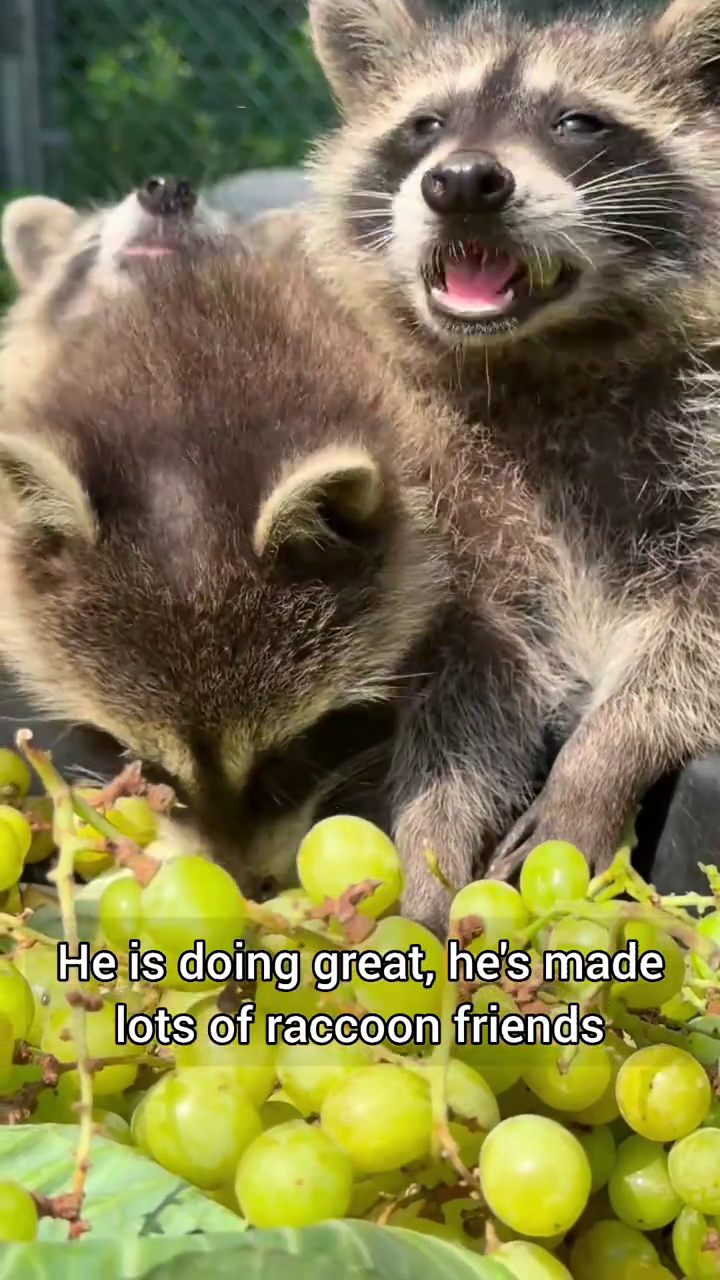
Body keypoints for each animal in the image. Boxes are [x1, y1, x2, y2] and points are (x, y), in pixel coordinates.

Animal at [303, 0, 720, 907]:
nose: (462, 181)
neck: (534, 358)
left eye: (578, 122)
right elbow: (470, 689)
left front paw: (599, 762)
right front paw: (430, 847)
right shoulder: (448, 513)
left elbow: (693, 641)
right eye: (426, 124)